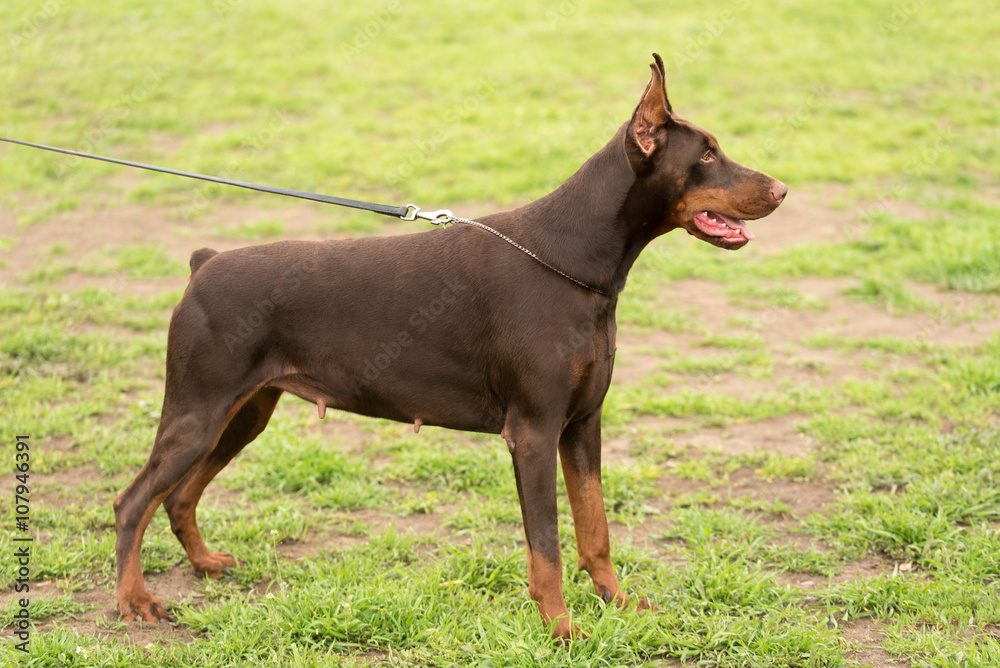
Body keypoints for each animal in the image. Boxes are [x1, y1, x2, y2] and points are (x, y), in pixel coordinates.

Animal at [115, 54, 788, 640]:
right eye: (707, 153)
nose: (782, 189)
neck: (573, 259)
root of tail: (204, 264)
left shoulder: (583, 423)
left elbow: (595, 527)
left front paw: (618, 603)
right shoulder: (534, 431)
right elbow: (546, 544)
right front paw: (561, 628)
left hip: (243, 413)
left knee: (179, 494)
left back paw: (205, 565)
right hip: (198, 410)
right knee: (134, 501)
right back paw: (135, 602)